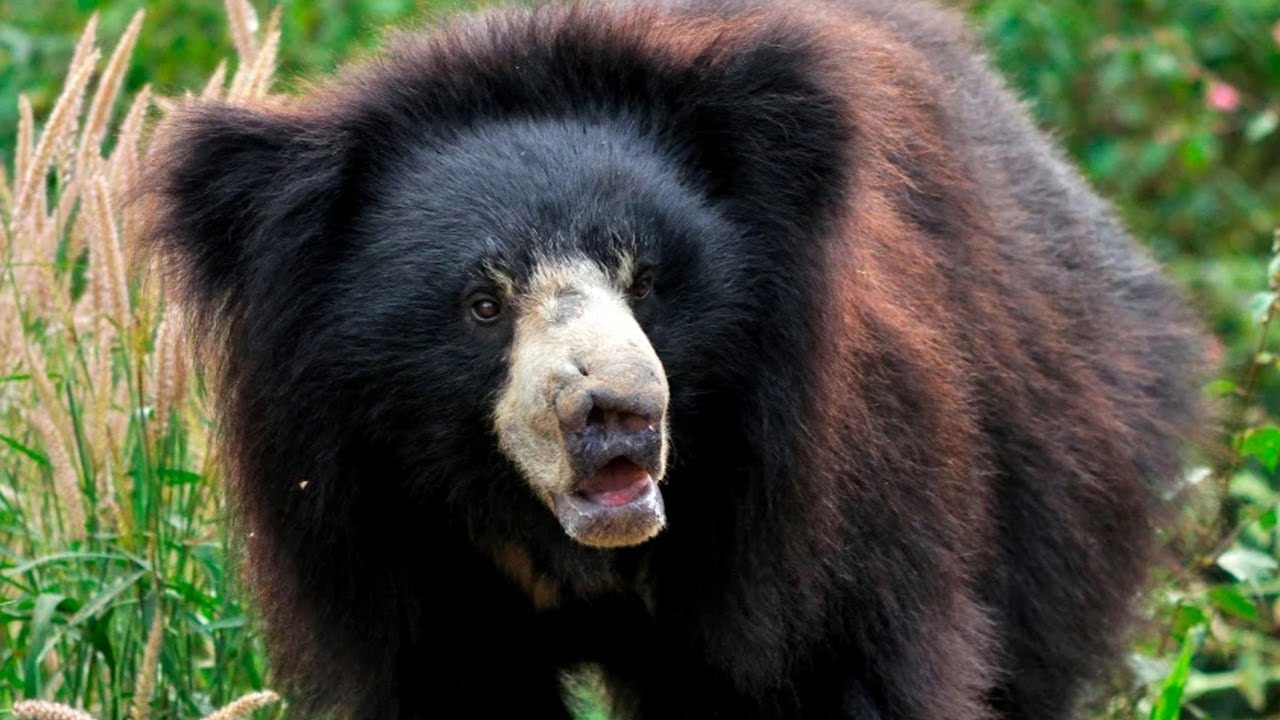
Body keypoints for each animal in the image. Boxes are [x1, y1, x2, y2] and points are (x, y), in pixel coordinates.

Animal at [148, 0, 1205, 718]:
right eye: (483, 304)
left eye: (648, 278)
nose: (614, 412)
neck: (572, 550)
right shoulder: (377, 528)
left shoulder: (828, 496)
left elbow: (844, 663)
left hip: (1057, 455)